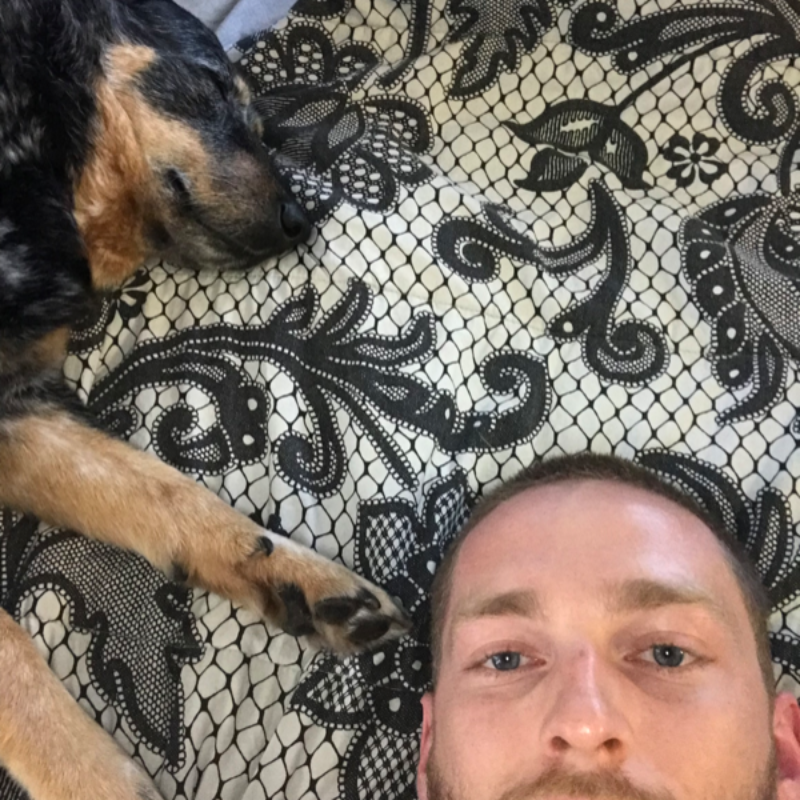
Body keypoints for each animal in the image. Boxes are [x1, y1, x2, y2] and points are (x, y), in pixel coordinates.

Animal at [0, 2, 410, 799]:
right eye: (215, 88)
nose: (299, 219)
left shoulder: (18, 413)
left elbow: (164, 494)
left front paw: (293, 572)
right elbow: (19, 673)